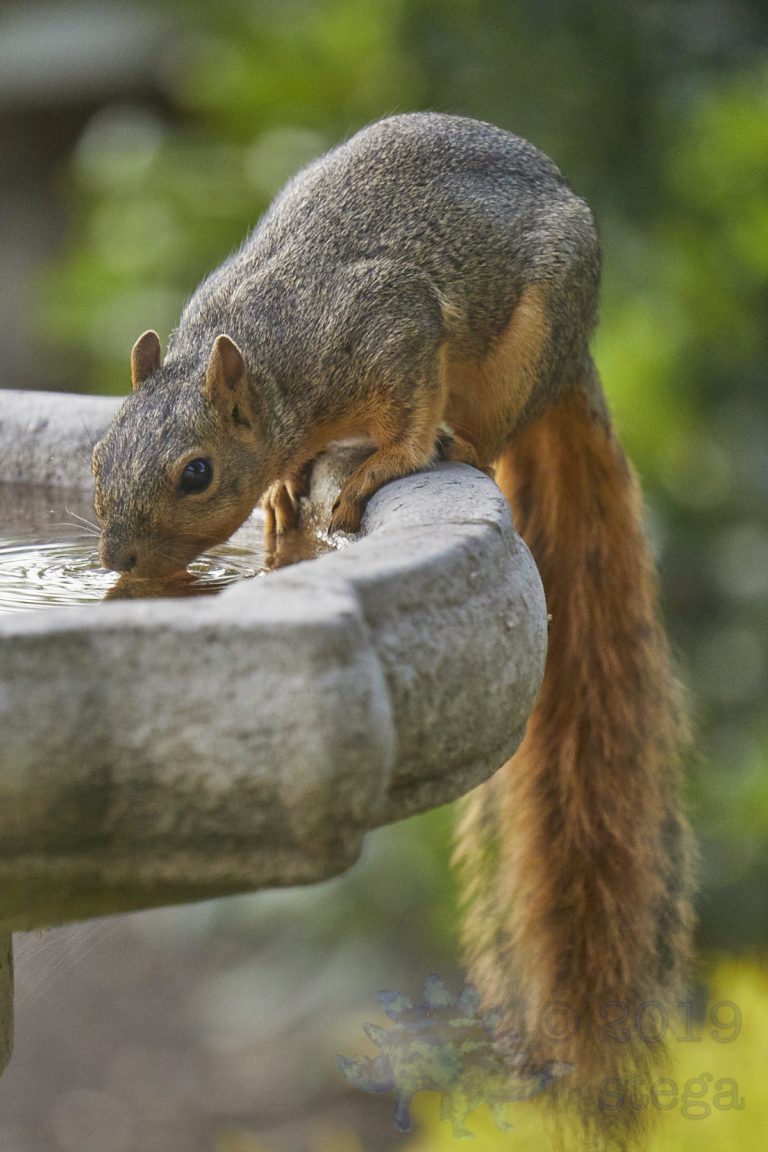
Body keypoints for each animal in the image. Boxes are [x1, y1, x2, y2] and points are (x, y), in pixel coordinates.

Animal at [92, 112, 694, 1146]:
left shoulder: (391, 326)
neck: (275, 358)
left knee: (488, 431)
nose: (120, 559)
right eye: (97, 459)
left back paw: (453, 444)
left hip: (531, 343)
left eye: (197, 473)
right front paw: (283, 502)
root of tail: (576, 355)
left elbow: (407, 405)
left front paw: (381, 465)